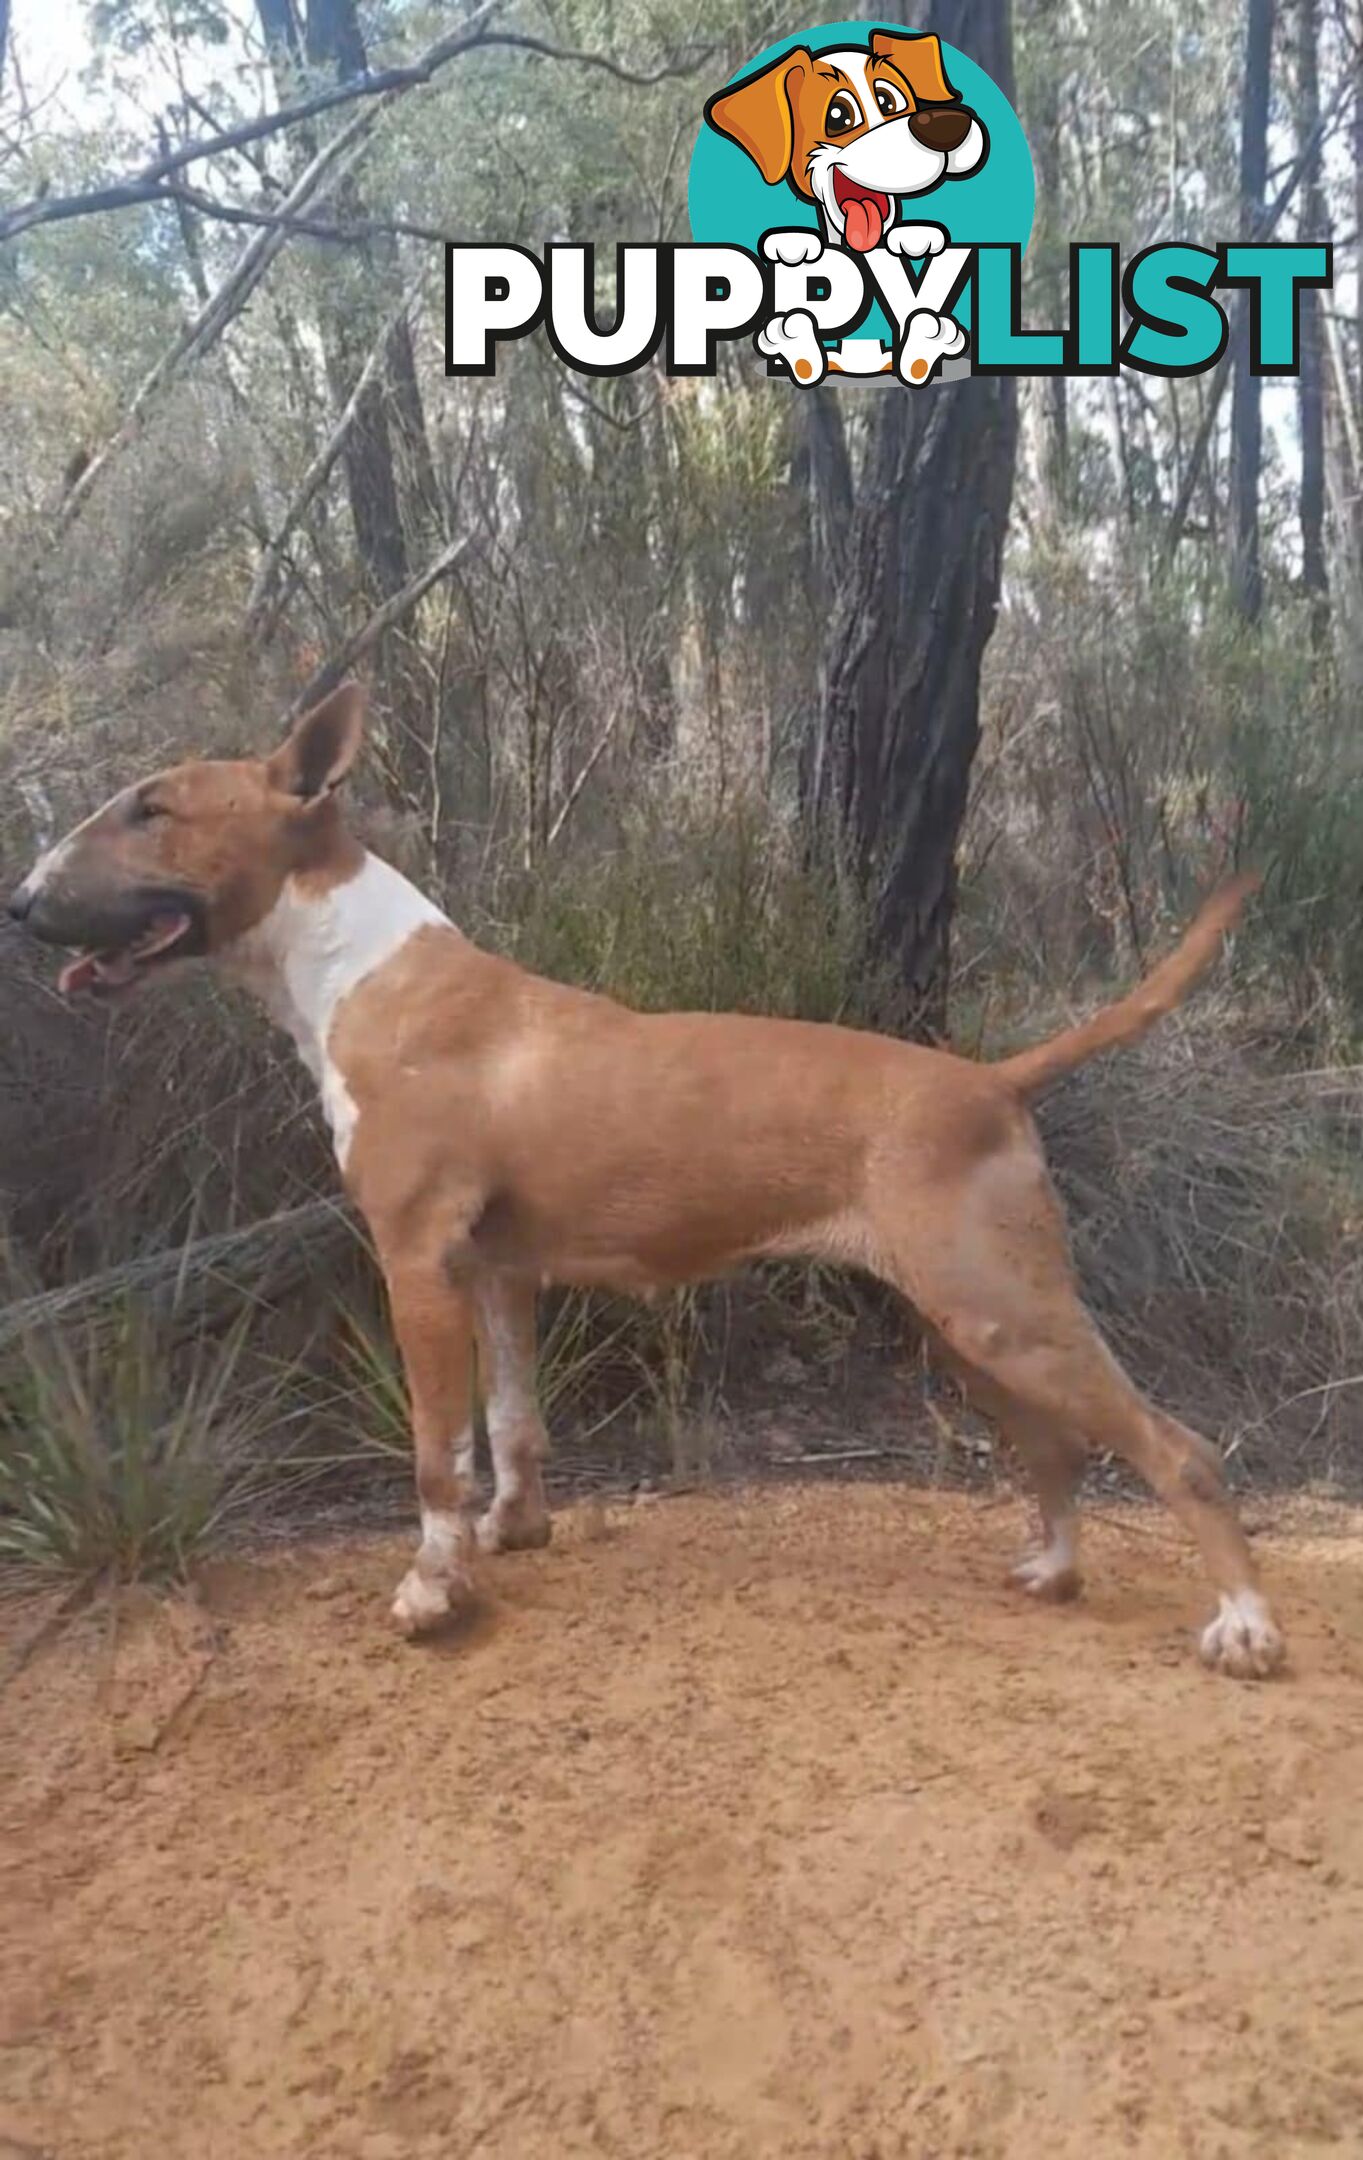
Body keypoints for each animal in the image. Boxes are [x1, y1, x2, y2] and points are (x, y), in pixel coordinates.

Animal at [7, 682, 1287, 1676]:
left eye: (154, 808)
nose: (20, 902)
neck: (359, 972)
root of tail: (989, 1079)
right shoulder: (496, 1272)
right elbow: (512, 1425)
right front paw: (515, 1531)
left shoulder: (415, 1262)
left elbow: (434, 1454)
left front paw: (434, 1589)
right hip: (970, 1329)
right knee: (1060, 1451)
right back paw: (1054, 1571)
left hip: (1005, 1315)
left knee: (1179, 1451)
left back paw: (1244, 1626)